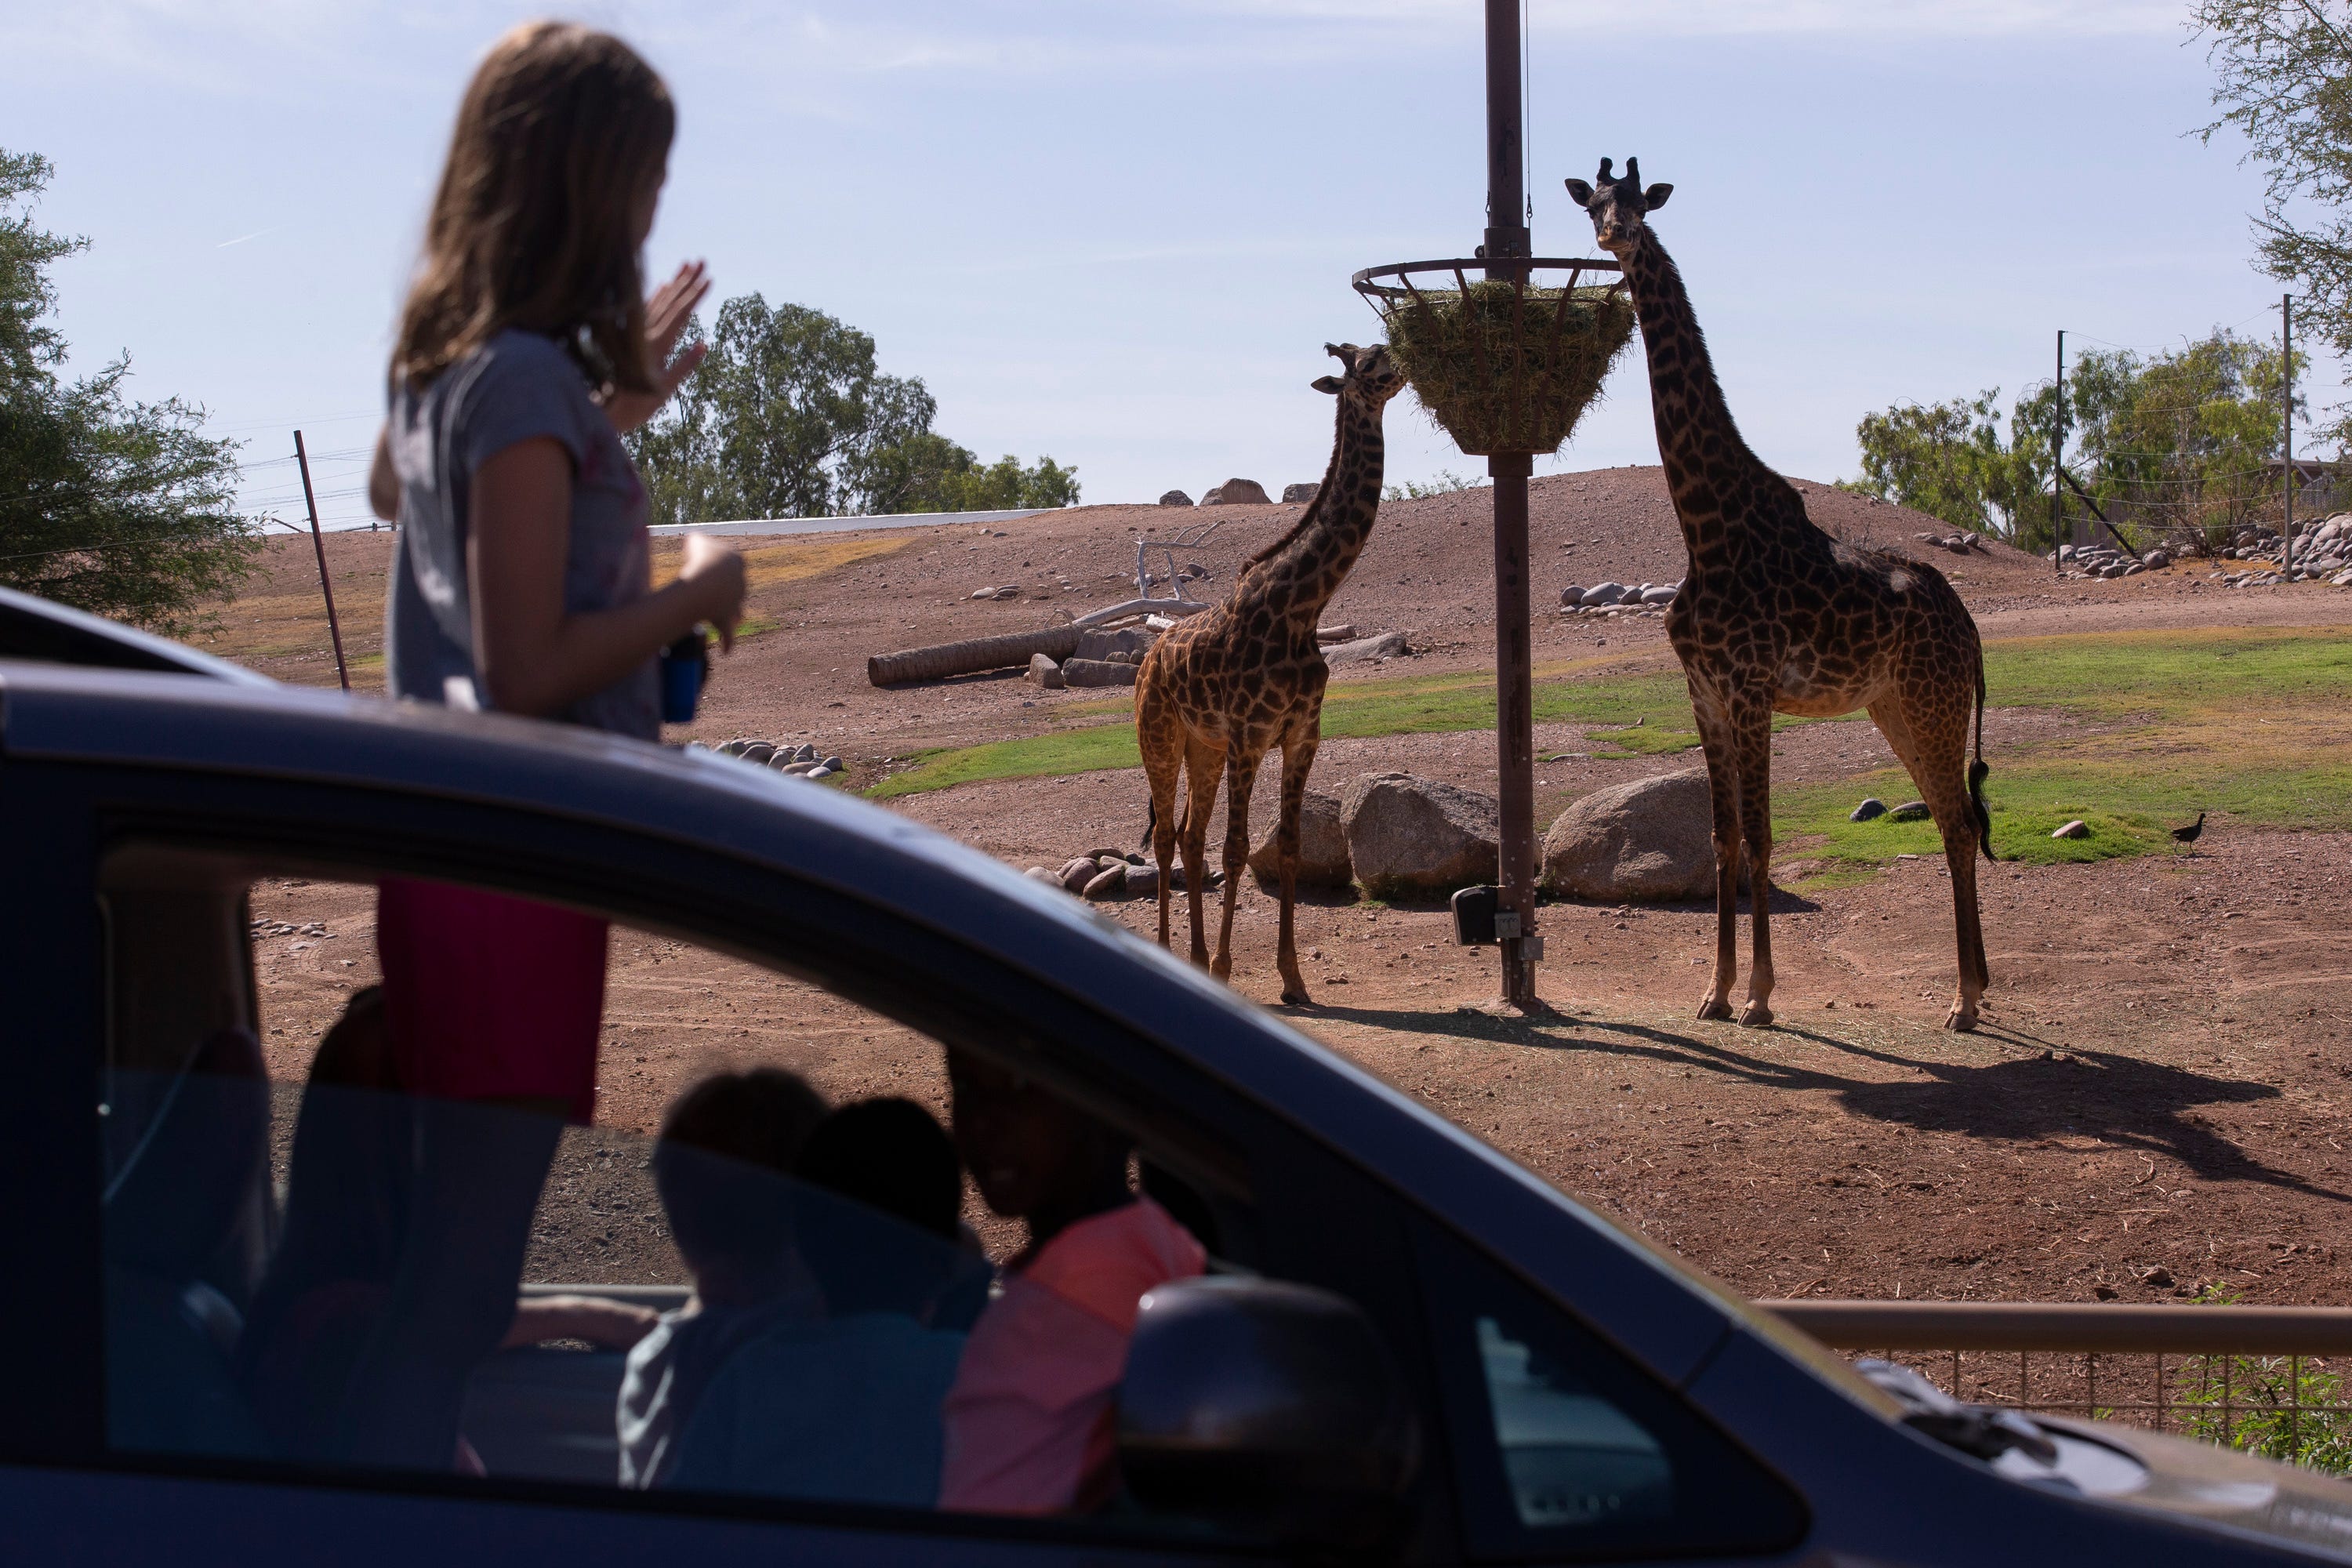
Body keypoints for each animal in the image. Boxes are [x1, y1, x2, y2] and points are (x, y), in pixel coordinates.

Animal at [1134, 343, 1402, 1006]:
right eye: (1368, 361)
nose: (1404, 368)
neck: (1304, 606)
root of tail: (1147, 660)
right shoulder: (1251, 735)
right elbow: (1236, 852)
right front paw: (1228, 969)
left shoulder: (1302, 735)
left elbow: (1288, 847)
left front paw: (1293, 978)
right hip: (1160, 738)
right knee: (1167, 837)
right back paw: (1172, 953)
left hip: (1203, 747)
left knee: (1188, 837)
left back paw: (1192, 957)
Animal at [1562, 159, 2004, 1034]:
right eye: (1592, 204)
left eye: (1638, 204)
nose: (1616, 236)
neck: (1704, 525)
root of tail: (1971, 631)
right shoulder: (1702, 691)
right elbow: (1723, 840)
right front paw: (1714, 992)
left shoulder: (1752, 687)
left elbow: (1763, 840)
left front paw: (1762, 996)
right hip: (1896, 705)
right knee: (1953, 818)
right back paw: (1969, 995)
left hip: (1931, 703)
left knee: (1961, 819)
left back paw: (1966, 1001)